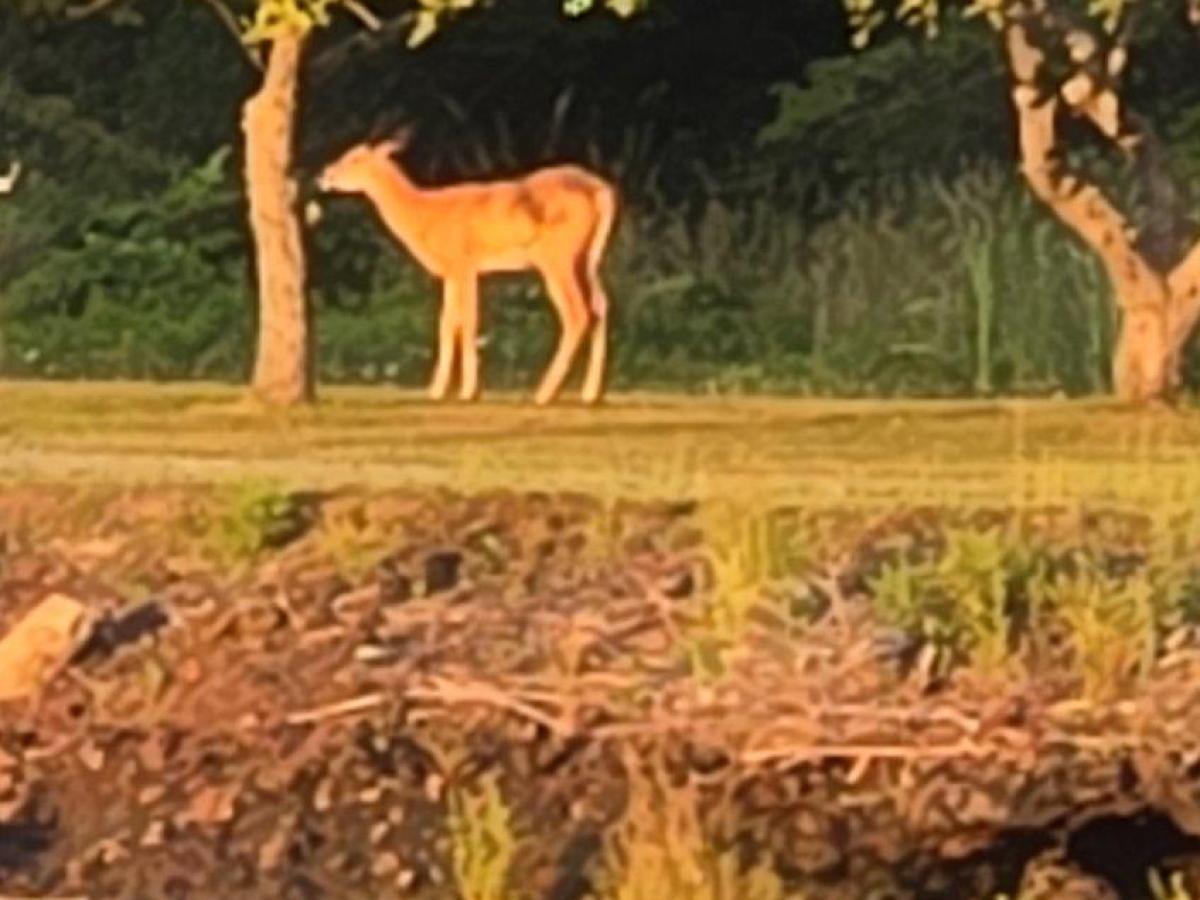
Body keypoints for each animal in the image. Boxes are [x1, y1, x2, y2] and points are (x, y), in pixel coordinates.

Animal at [316, 130, 617, 406]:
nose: (324, 175)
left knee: (577, 313)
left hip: (556, 256)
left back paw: (544, 394)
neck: (424, 215)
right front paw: (437, 391)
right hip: (587, 257)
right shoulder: (451, 272)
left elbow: (468, 322)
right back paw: (590, 394)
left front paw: (468, 391)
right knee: (600, 306)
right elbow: (447, 324)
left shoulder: (464, 263)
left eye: (355, 158)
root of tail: (601, 192)